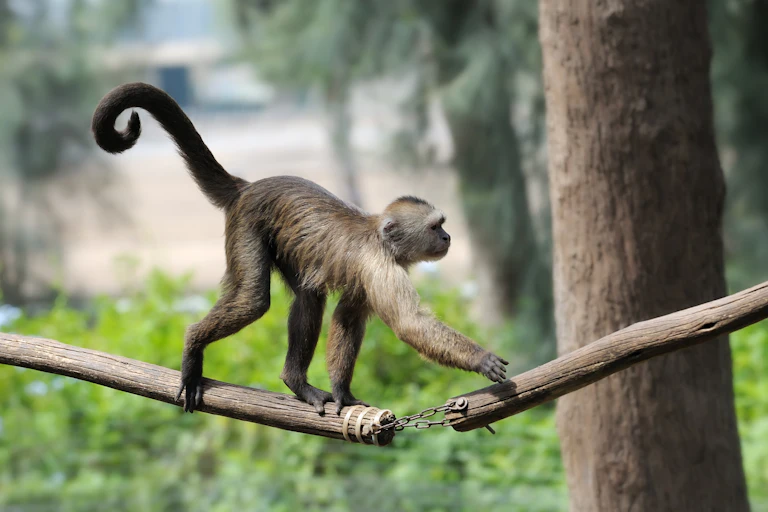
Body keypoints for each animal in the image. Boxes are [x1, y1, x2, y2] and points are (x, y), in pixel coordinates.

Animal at [92, 82, 509, 415]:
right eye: (436, 226)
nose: (448, 238)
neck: (378, 238)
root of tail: (246, 187)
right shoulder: (380, 267)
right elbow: (410, 324)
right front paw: (481, 358)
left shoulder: (370, 274)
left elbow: (348, 318)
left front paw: (342, 391)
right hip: (247, 225)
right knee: (253, 300)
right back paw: (194, 344)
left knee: (309, 297)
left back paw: (296, 382)